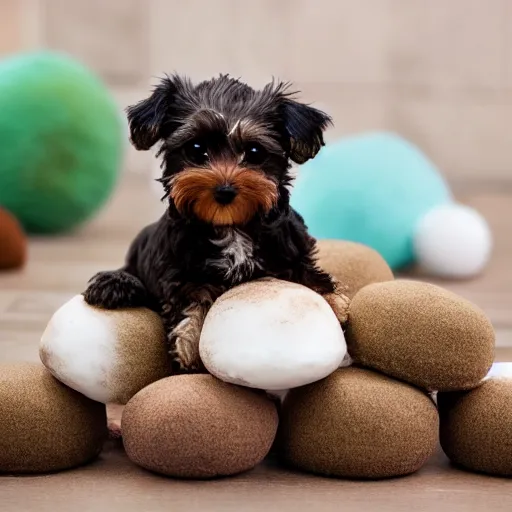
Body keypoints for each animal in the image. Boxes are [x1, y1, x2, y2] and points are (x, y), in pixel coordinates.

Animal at [84, 74, 348, 374]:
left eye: (254, 152)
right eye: (197, 149)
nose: (224, 190)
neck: (231, 226)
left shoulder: (292, 250)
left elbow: (311, 275)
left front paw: (335, 303)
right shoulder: (179, 272)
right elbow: (192, 301)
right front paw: (188, 345)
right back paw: (113, 284)